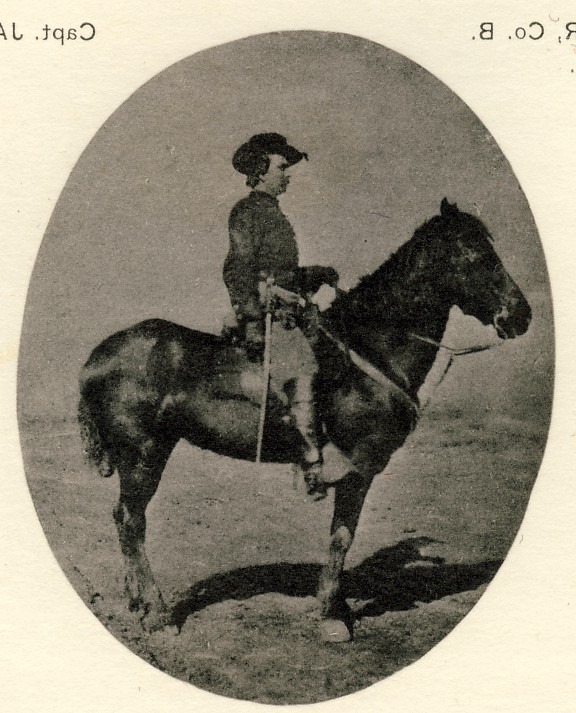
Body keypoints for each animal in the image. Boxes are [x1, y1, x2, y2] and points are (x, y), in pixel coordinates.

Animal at [78, 198, 531, 642]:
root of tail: (96, 358)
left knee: (123, 519)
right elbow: (342, 536)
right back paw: (157, 615)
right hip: (143, 455)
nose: (521, 315)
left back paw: (138, 603)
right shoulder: (358, 466)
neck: (369, 350)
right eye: (479, 256)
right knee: (132, 523)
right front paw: (332, 614)